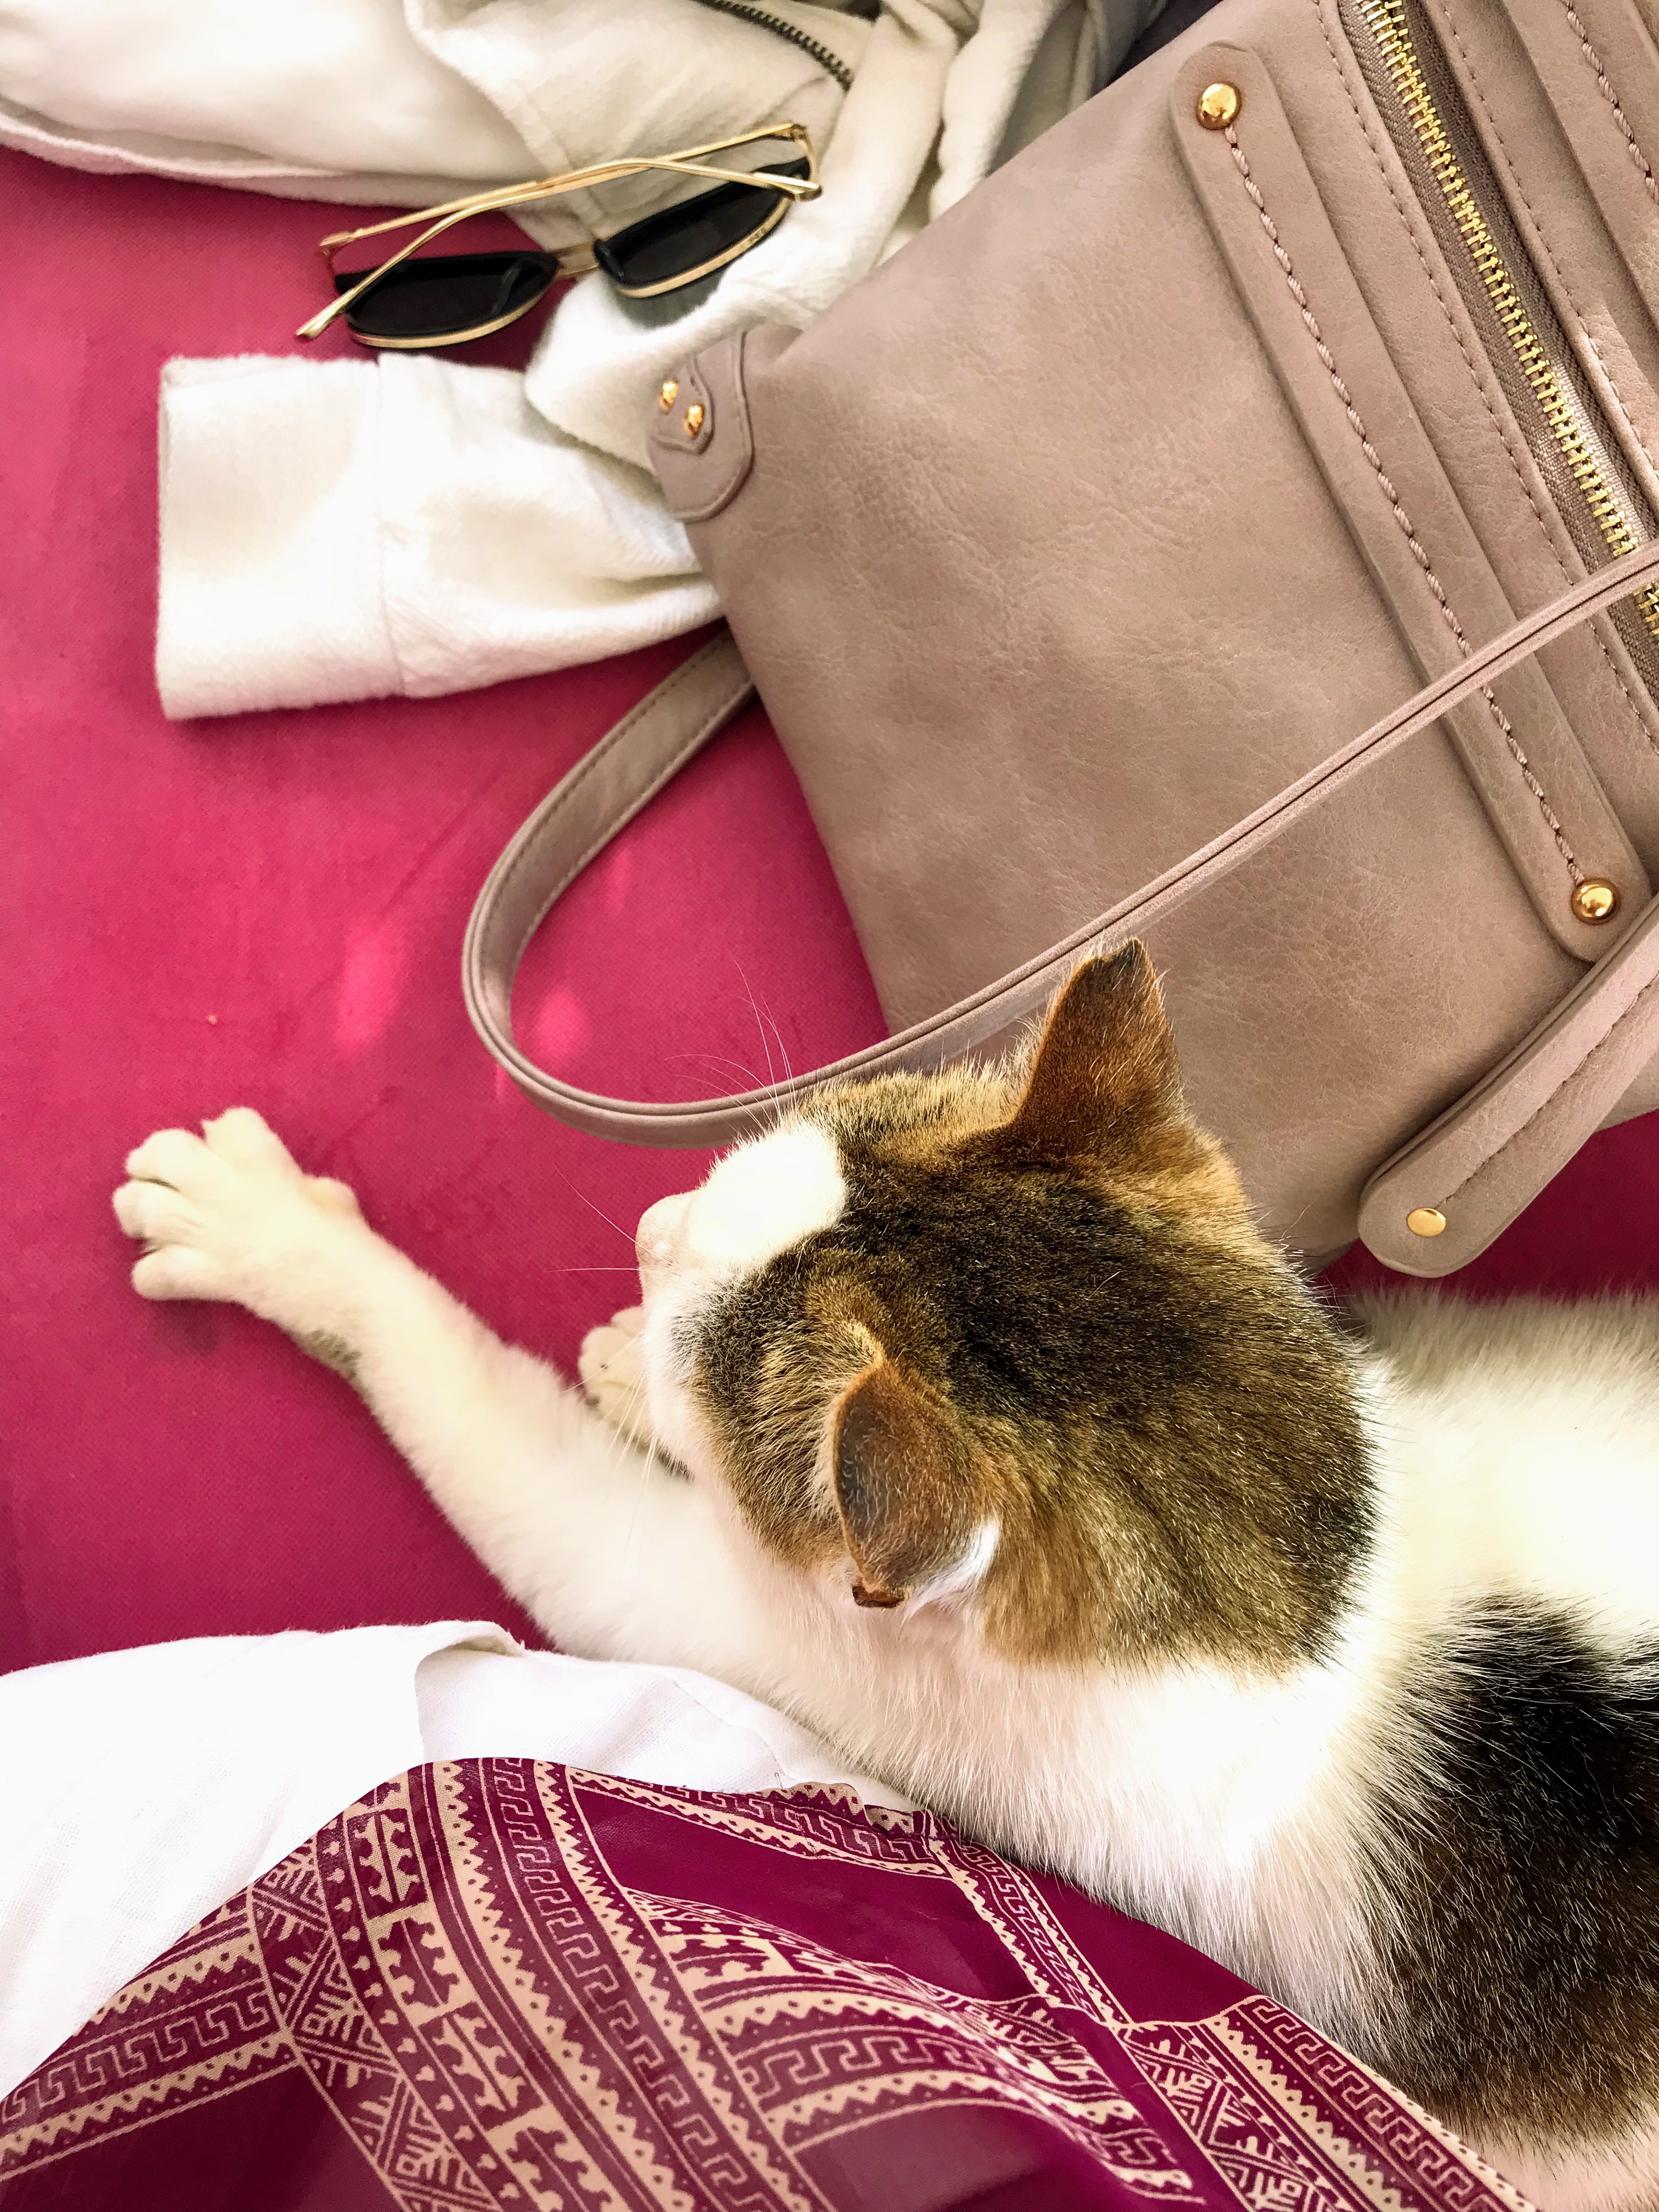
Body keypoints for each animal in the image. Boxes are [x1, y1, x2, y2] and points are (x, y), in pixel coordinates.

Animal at [112, 942, 1659, 2212]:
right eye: (742, 1168)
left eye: (707, 1328)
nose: (654, 1229)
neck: (1338, 1613)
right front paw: (614, 1365)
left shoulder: (749, 1637)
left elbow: (503, 1434)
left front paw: (278, 1237)